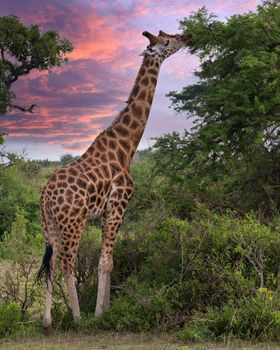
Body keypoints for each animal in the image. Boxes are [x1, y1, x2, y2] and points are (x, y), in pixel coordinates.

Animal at [37, 30, 192, 334]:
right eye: (168, 41)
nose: (189, 37)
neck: (126, 147)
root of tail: (46, 196)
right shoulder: (119, 204)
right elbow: (106, 262)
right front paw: (100, 314)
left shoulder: (106, 211)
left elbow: (107, 260)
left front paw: (106, 309)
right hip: (74, 222)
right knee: (66, 263)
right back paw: (78, 319)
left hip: (50, 225)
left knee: (51, 263)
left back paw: (48, 323)